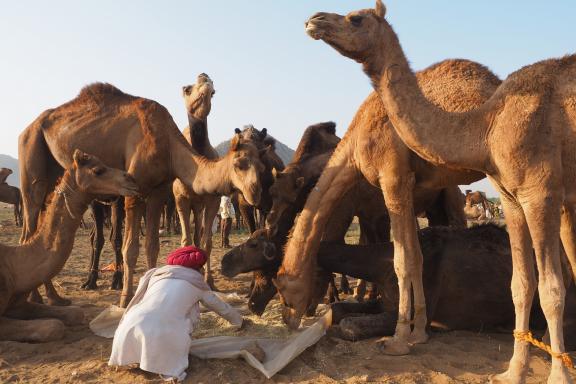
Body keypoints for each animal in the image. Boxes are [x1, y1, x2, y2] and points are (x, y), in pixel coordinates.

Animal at [16, 82, 262, 308]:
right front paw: (125, 299)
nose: (256, 191)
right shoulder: (133, 191)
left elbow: (152, 246)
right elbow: (130, 248)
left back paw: (53, 297)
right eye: (240, 164)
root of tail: (29, 127)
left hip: (53, 171)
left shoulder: (158, 192)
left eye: (260, 163)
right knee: (29, 225)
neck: (168, 145)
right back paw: (35, 297)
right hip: (31, 152)